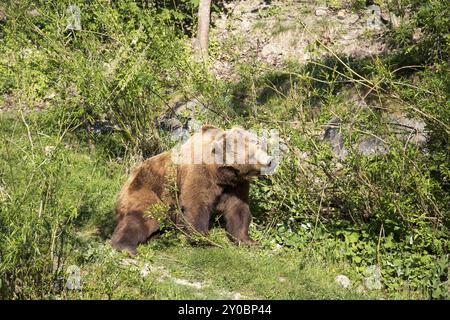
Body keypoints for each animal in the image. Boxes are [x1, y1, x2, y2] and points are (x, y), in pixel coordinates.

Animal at [110, 124, 276, 254]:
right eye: (252, 150)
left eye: (260, 144)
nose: (270, 160)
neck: (220, 172)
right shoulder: (199, 173)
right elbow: (195, 203)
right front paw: (203, 239)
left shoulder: (235, 184)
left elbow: (238, 208)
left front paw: (249, 241)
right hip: (146, 189)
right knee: (144, 217)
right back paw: (126, 246)